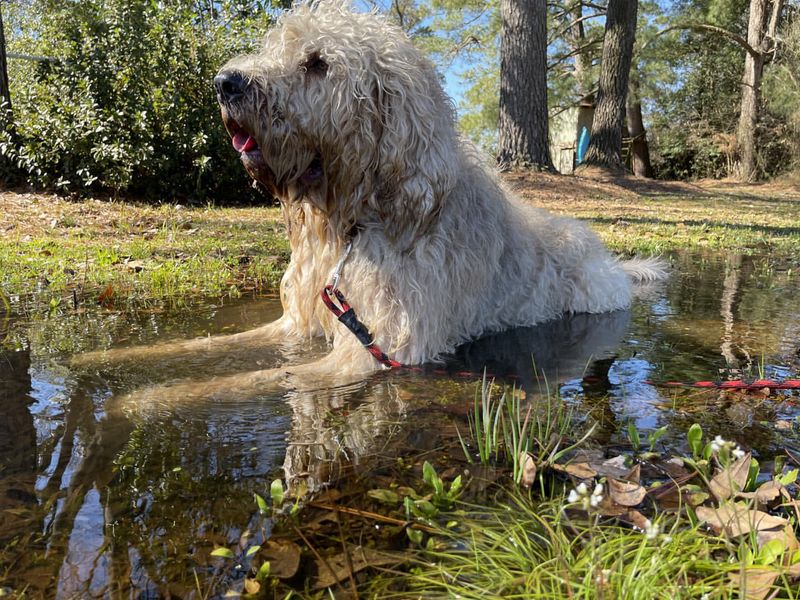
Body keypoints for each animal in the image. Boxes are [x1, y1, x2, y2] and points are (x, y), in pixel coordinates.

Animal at [87, 3, 664, 398]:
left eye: (317, 63)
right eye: (275, 51)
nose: (225, 82)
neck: (356, 218)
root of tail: (611, 261)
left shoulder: (375, 351)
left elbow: (246, 381)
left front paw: (140, 402)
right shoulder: (297, 322)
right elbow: (211, 346)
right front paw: (105, 360)